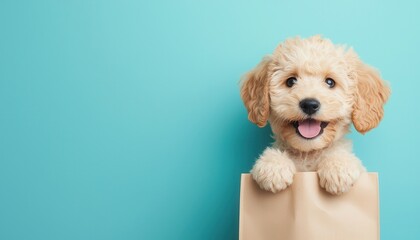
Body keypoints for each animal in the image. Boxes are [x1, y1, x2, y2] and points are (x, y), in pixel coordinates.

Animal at [240, 35, 390, 195]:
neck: (308, 153)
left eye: (330, 82)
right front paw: (273, 166)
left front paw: (338, 167)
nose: (309, 105)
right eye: (290, 81)